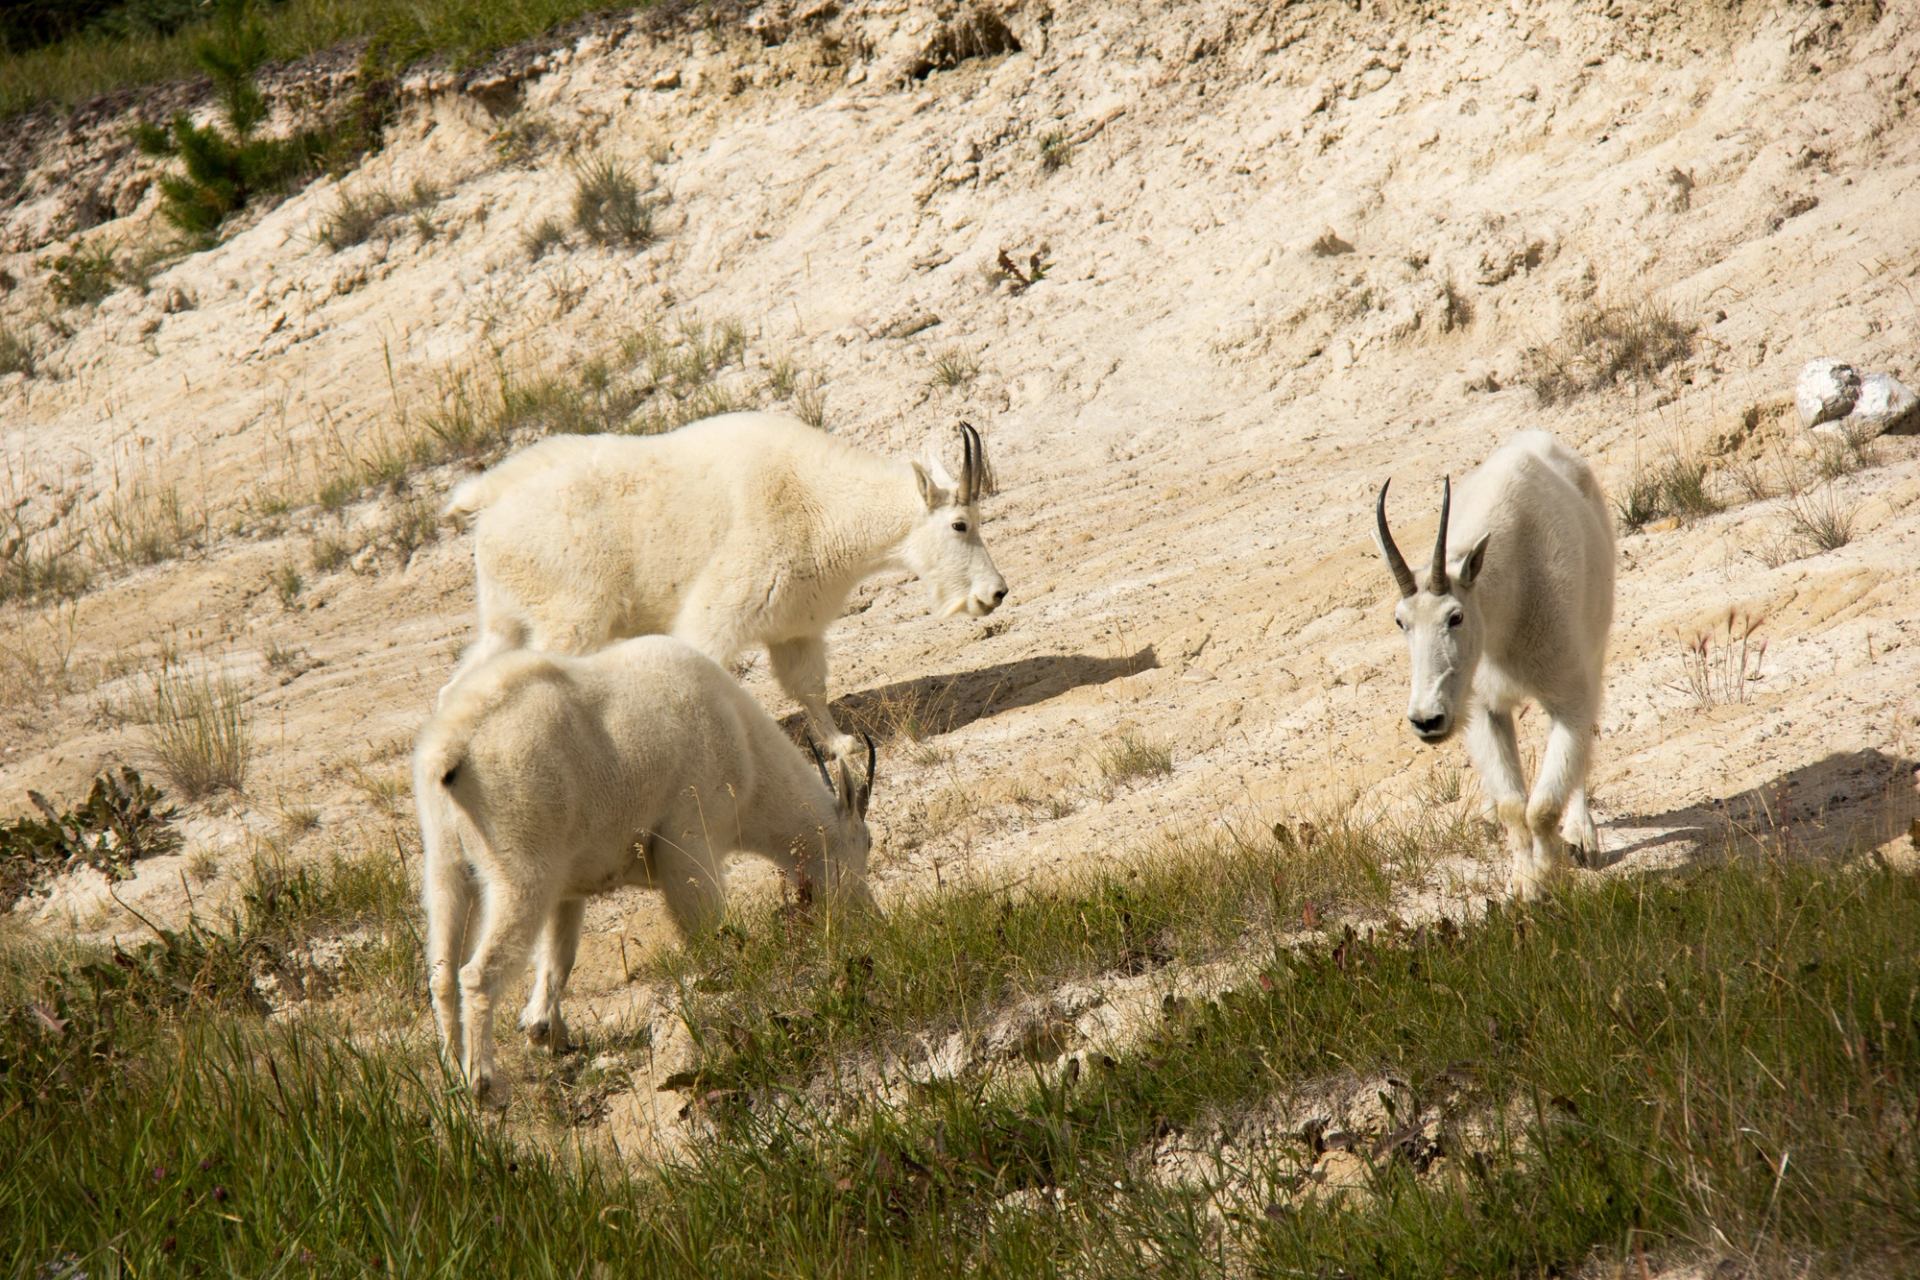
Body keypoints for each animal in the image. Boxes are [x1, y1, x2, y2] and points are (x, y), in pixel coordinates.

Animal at [413, 635, 877, 1096]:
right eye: (867, 843)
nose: (869, 915)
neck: (747, 755)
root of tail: (452, 748)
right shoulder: (688, 844)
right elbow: (708, 929)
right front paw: (726, 988)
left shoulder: (568, 886)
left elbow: (559, 959)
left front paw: (547, 1033)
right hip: (523, 872)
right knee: (477, 973)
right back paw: (482, 1085)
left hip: (447, 865)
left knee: (442, 974)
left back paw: (453, 1076)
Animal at [441, 412, 1007, 760]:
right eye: (961, 524)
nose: (996, 593)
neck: (822, 505)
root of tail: (488, 509)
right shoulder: (719, 612)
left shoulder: (794, 627)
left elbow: (810, 688)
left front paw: (841, 745)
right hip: (571, 621)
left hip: (506, 620)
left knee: (459, 687)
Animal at [1374, 430, 1614, 899]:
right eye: (1400, 620)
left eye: (1455, 616)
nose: (1427, 720)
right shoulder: (1483, 709)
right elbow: (1512, 806)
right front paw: (1523, 886)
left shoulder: (1568, 698)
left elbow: (1542, 806)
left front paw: (1545, 877)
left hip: (1594, 649)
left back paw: (1582, 835)